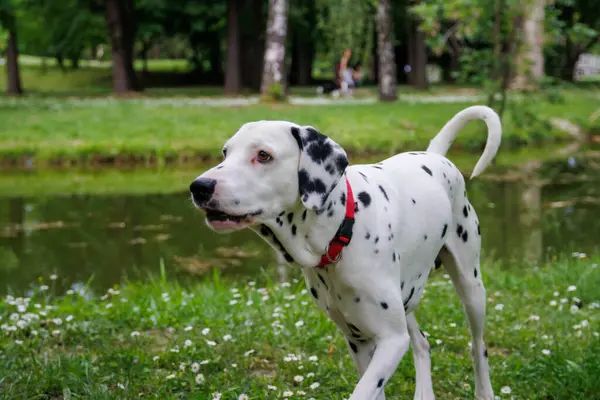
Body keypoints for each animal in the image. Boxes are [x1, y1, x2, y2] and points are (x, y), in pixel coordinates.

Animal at [191, 104, 502, 398]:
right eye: (225, 153)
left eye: (263, 155)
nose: (199, 187)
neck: (341, 229)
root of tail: (433, 155)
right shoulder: (359, 341)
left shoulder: (391, 340)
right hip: (405, 301)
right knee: (422, 343)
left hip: (471, 289)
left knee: (478, 346)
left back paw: (484, 391)